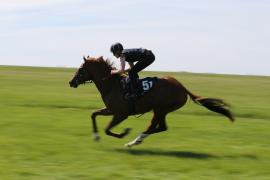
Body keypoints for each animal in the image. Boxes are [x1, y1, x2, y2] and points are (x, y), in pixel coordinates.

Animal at [69, 56, 234, 148]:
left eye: (81, 69)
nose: (71, 82)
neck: (111, 84)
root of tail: (182, 87)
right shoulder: (111, 110)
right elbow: (93, 114)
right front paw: (96, 136)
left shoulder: (121, 114)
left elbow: (108, 129)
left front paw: (124, 133)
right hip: (159, 110)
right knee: (158, 126)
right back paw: (136, 141)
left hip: (161, 108)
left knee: (160, 127)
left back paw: (134, 140)